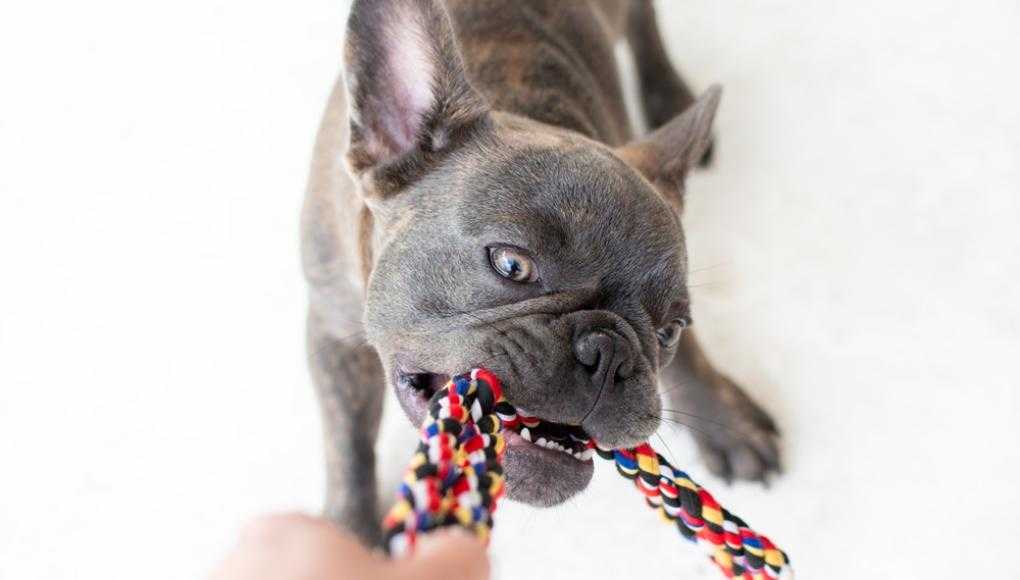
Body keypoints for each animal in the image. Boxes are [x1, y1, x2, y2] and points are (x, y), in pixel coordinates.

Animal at [301, 0, 779, 546]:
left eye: (669, 331)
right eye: (512, 265)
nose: (610, 351)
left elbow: (692, 363)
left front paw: (727, 422)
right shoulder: (331, 331)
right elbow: (349, 446)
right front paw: (347, 536)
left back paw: (669, 92)